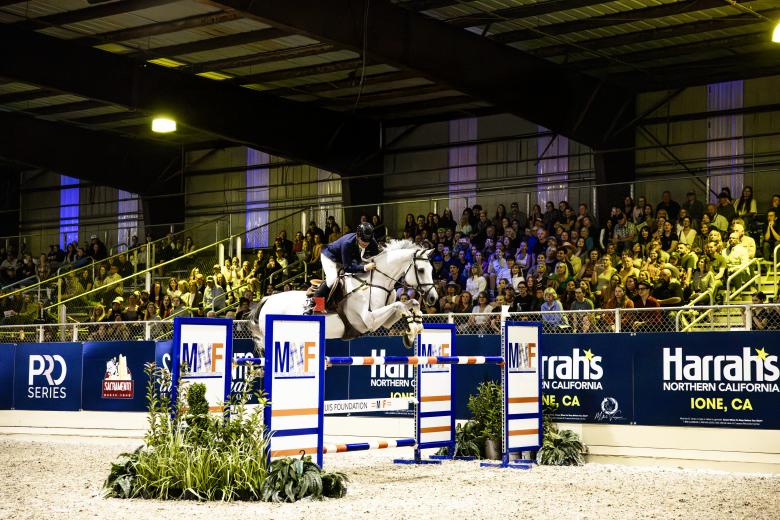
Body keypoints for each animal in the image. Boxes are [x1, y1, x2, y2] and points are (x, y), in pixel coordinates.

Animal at [248, 239, 438, 354]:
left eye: (432, 270)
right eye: (421, 270)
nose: (433, 298)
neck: (376, 282)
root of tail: (267, 299)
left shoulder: (385, 322)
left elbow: (411, 303)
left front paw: (414, 329)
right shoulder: (369, 320)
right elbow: (401, 305)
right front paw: (412, 331)